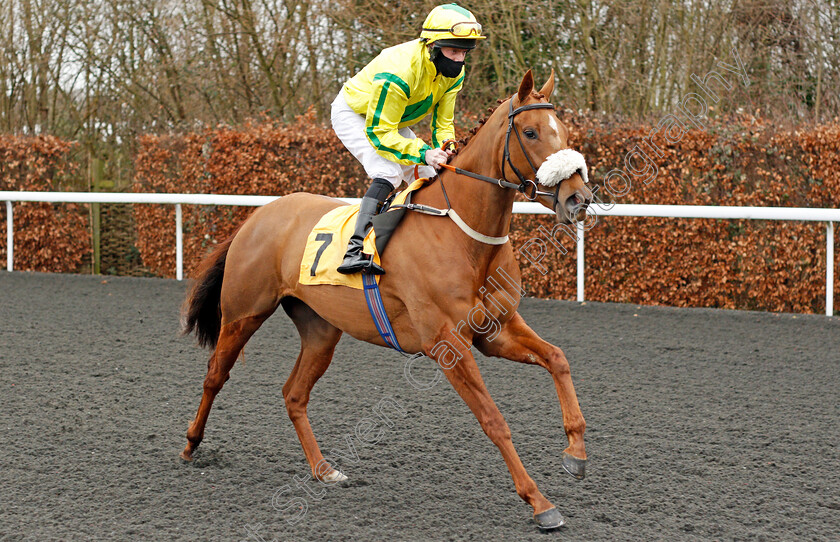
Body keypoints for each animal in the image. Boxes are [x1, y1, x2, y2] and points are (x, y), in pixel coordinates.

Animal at [181, 69, 592, 532]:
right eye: (531, 131)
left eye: (565, 132)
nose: (578, 197)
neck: (462, 236)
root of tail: (258, 215)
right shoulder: (447, 343)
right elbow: (494, 420)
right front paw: (539, 502)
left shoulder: (495, 330)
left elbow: (558, 358)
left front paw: (575, 453)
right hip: (243, 314)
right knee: (215, 376)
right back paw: (191, 445)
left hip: (320, 330)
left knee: (293, 394)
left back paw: (323, 469)